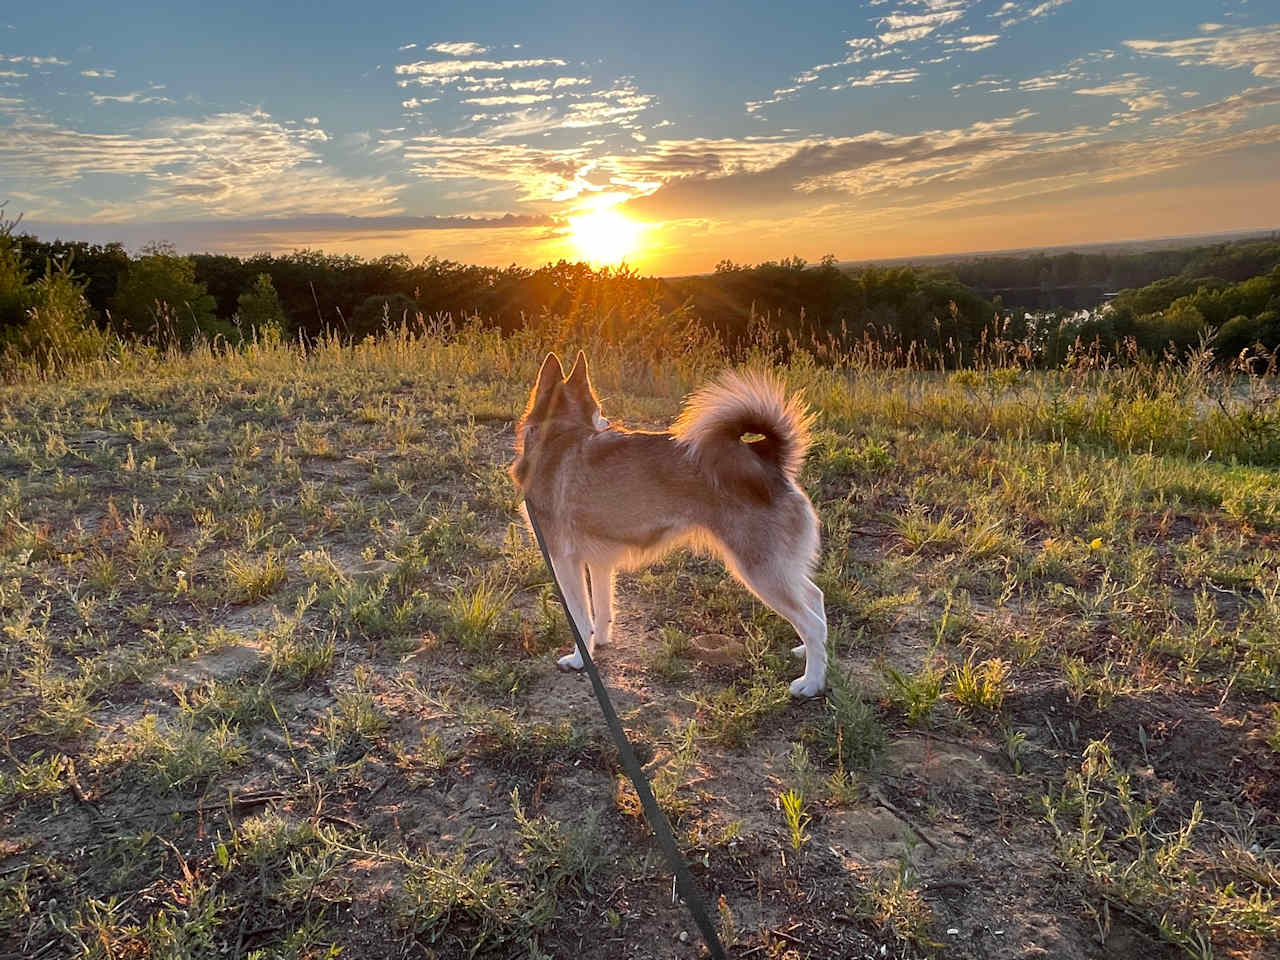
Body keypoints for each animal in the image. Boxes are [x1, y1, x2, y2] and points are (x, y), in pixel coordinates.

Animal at [509, 353, 829, 701]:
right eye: (598, 410)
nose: (610, 424)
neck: (559, 432)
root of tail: (765, 457)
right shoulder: (599, 561)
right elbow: (602, 609)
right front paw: (602, 642)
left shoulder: (564, 561)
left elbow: (581, 618)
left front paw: (581, 658)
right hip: (780, 567)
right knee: (815, 601)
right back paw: (809, 652)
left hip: (761, 571)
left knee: (811, 621)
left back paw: (811, 682)